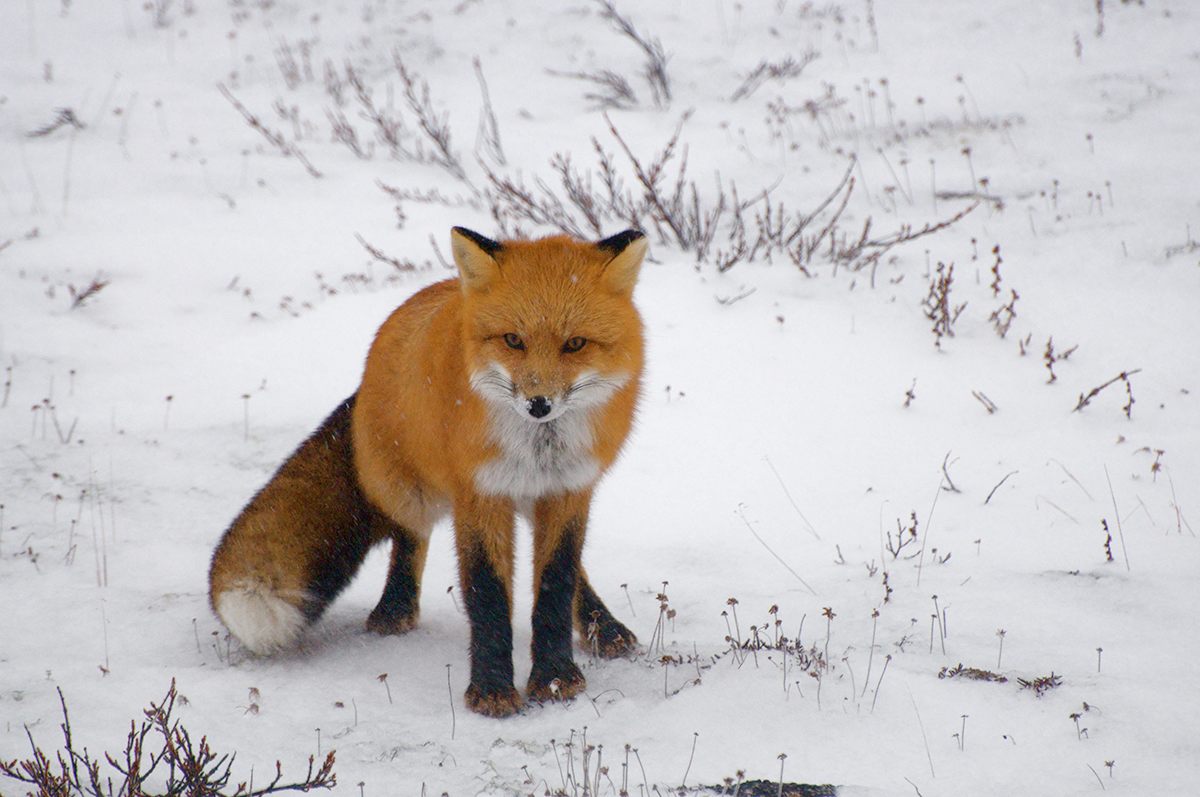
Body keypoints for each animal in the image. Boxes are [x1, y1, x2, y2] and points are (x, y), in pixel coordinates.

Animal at [211, 226, 652, 720]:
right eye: (512, 340)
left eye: (575, 344)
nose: (538, 404)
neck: (540, 449)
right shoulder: (479, 493)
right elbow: (487, 592)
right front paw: (492, 690)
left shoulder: (569, 489)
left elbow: (557, 580)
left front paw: (556, 679)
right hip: (407, 489)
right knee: (409, 534)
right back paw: (396, 607)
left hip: (529, 499)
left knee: (571, 570)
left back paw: (605, 627)